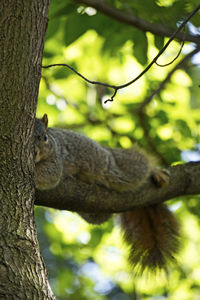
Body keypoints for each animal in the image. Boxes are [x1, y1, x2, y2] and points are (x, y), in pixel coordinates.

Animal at [34, 113, 180, 274]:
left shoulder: (56, 159)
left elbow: (50, 174)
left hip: (112, 166)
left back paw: (156, 173)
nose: (36, 152)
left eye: (45, 138)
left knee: (140, 163)